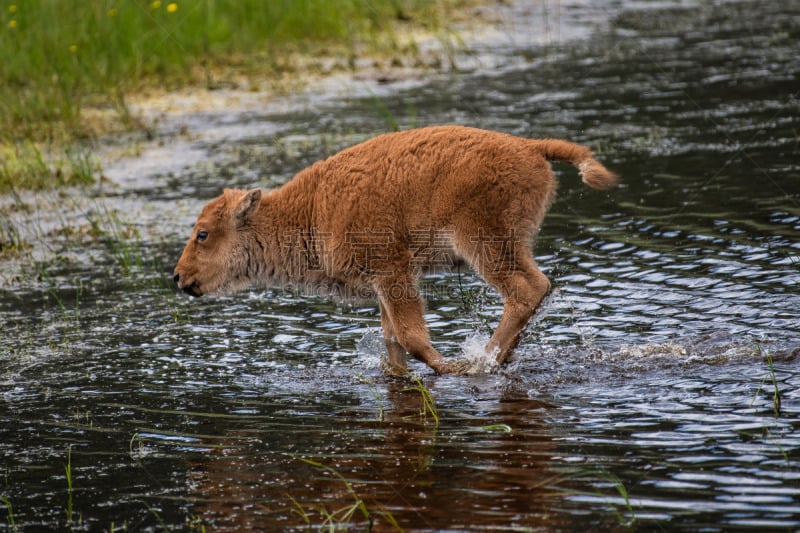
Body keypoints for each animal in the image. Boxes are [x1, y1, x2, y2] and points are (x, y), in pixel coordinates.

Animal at [172, 124, 616, 374]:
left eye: (203, 234)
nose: (178, 277)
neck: (311, 208)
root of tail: (530, 146)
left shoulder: (393, 273)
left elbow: (410, 335)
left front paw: (451, 367)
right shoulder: (381, 286)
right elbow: (393, 341)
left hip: (486, 244)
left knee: (526, 289)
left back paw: (482, 361)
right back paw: (498, 357)